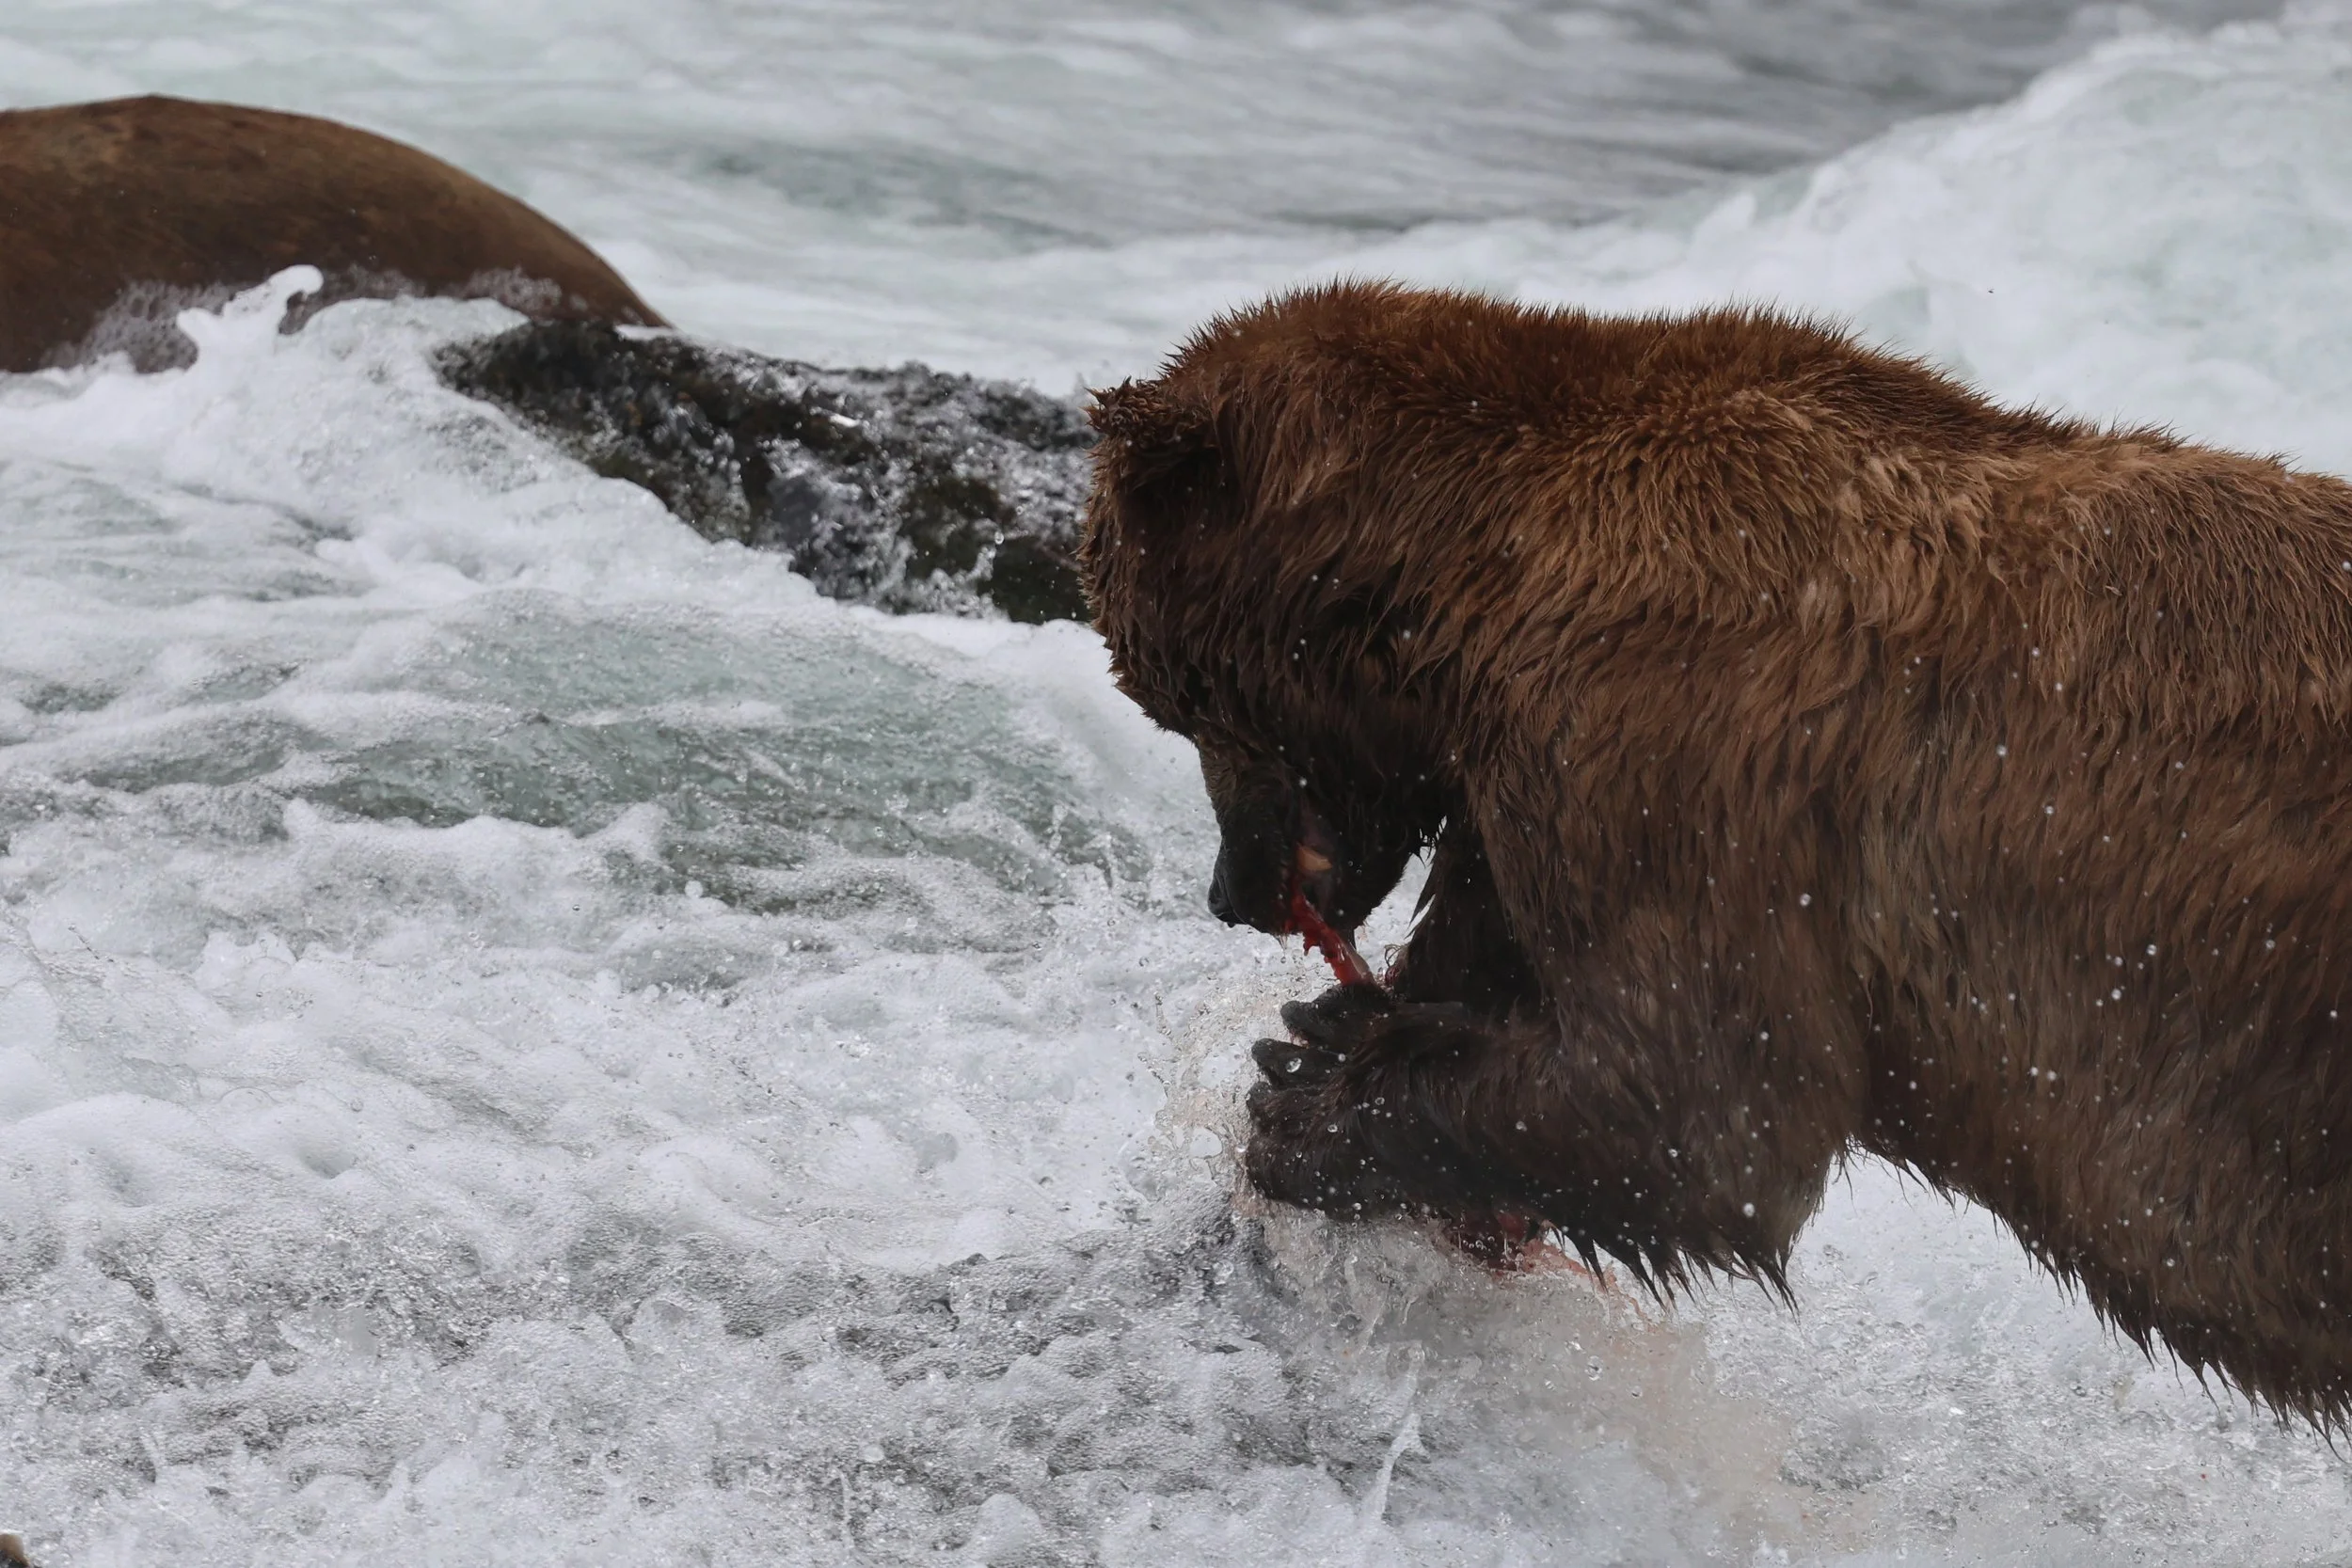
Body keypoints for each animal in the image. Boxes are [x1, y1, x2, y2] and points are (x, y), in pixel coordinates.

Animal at [1083, 280, 2352, 1427]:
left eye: (1171, 696)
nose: (1231, 889)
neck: (1470, 582)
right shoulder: (1512, 800)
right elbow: (1507, 965)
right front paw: (1326, 1027)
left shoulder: (1666, 744)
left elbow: (1706, 1099)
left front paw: (1311, 1092)